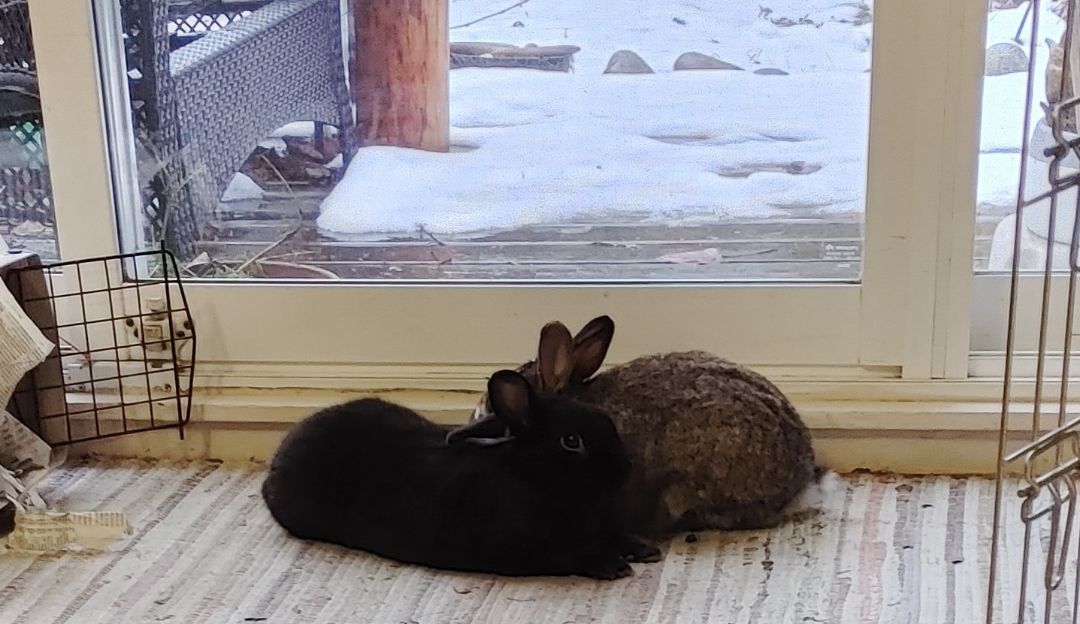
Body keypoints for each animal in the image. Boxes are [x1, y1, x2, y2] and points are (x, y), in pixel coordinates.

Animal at [262, 363, 660, 580]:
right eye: (571, 441)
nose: (624, 470)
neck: (531, 478)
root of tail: (280, 456)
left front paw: (644, 549)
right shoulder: (524, 551)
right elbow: (569, 557)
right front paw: (613, 566)